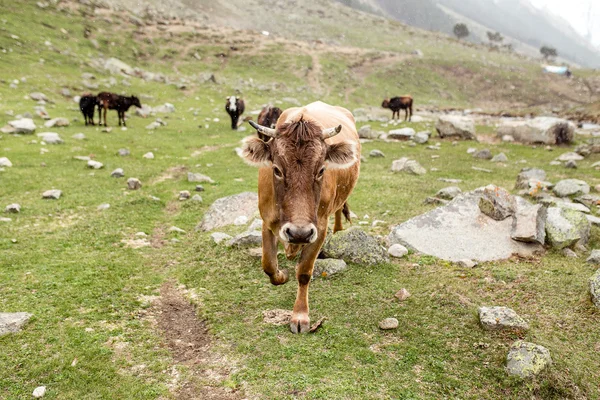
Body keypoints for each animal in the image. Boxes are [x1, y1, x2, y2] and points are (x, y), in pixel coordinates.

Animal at [240, 101, 360, 332]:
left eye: (321, 170)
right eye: (277, 169)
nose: (299, 233)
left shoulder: (319, 227)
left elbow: (304, 272)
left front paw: (300, 316)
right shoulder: (267, 220)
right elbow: (268, 264)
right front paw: (282, 274)